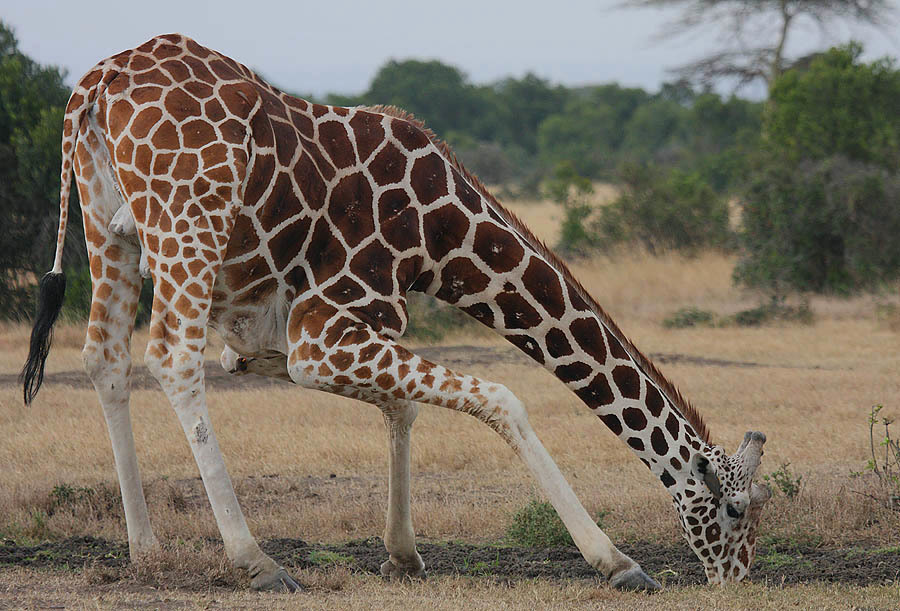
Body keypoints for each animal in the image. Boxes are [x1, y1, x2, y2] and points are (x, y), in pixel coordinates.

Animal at [19, 34, 772, 592]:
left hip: (108, 225)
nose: (736, 577)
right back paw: (257, 562)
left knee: (104, 358)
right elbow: (502, 398)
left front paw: (403, 553)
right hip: (187, 221)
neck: (442, 235)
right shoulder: (321, 336)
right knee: (171, 357)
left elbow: (404, 406)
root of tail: (97, 83)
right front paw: (616, 562)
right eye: (735, 508)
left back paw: (145, 550)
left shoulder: (279, 338)